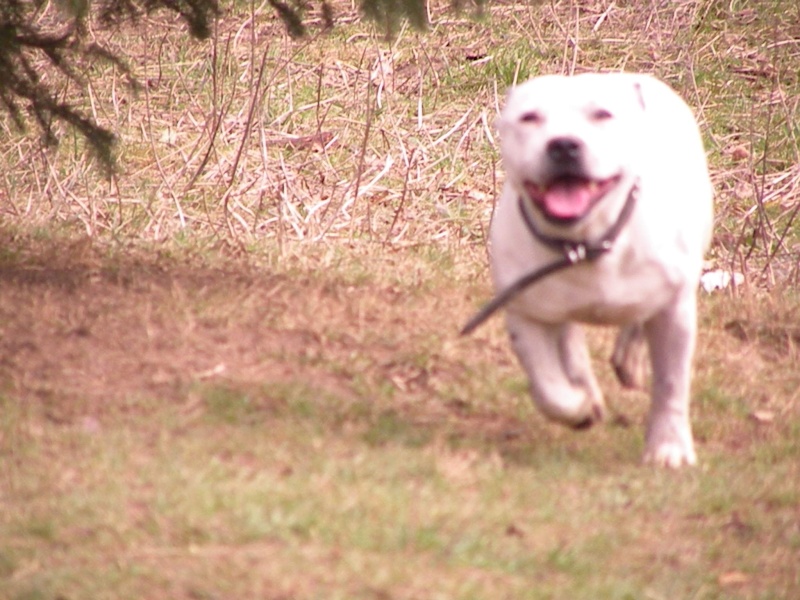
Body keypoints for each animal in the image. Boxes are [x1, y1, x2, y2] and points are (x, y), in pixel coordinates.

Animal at [468, 72, 712, 468]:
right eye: (530, 118)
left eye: (602, 114)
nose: (564, 144)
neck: (586, 241)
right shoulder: (527, 311)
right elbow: (548, 385)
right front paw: (579, 407)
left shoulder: (674, 308)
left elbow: (671, 382)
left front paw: (668, 448)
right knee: (571, 342)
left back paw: (629, 359)